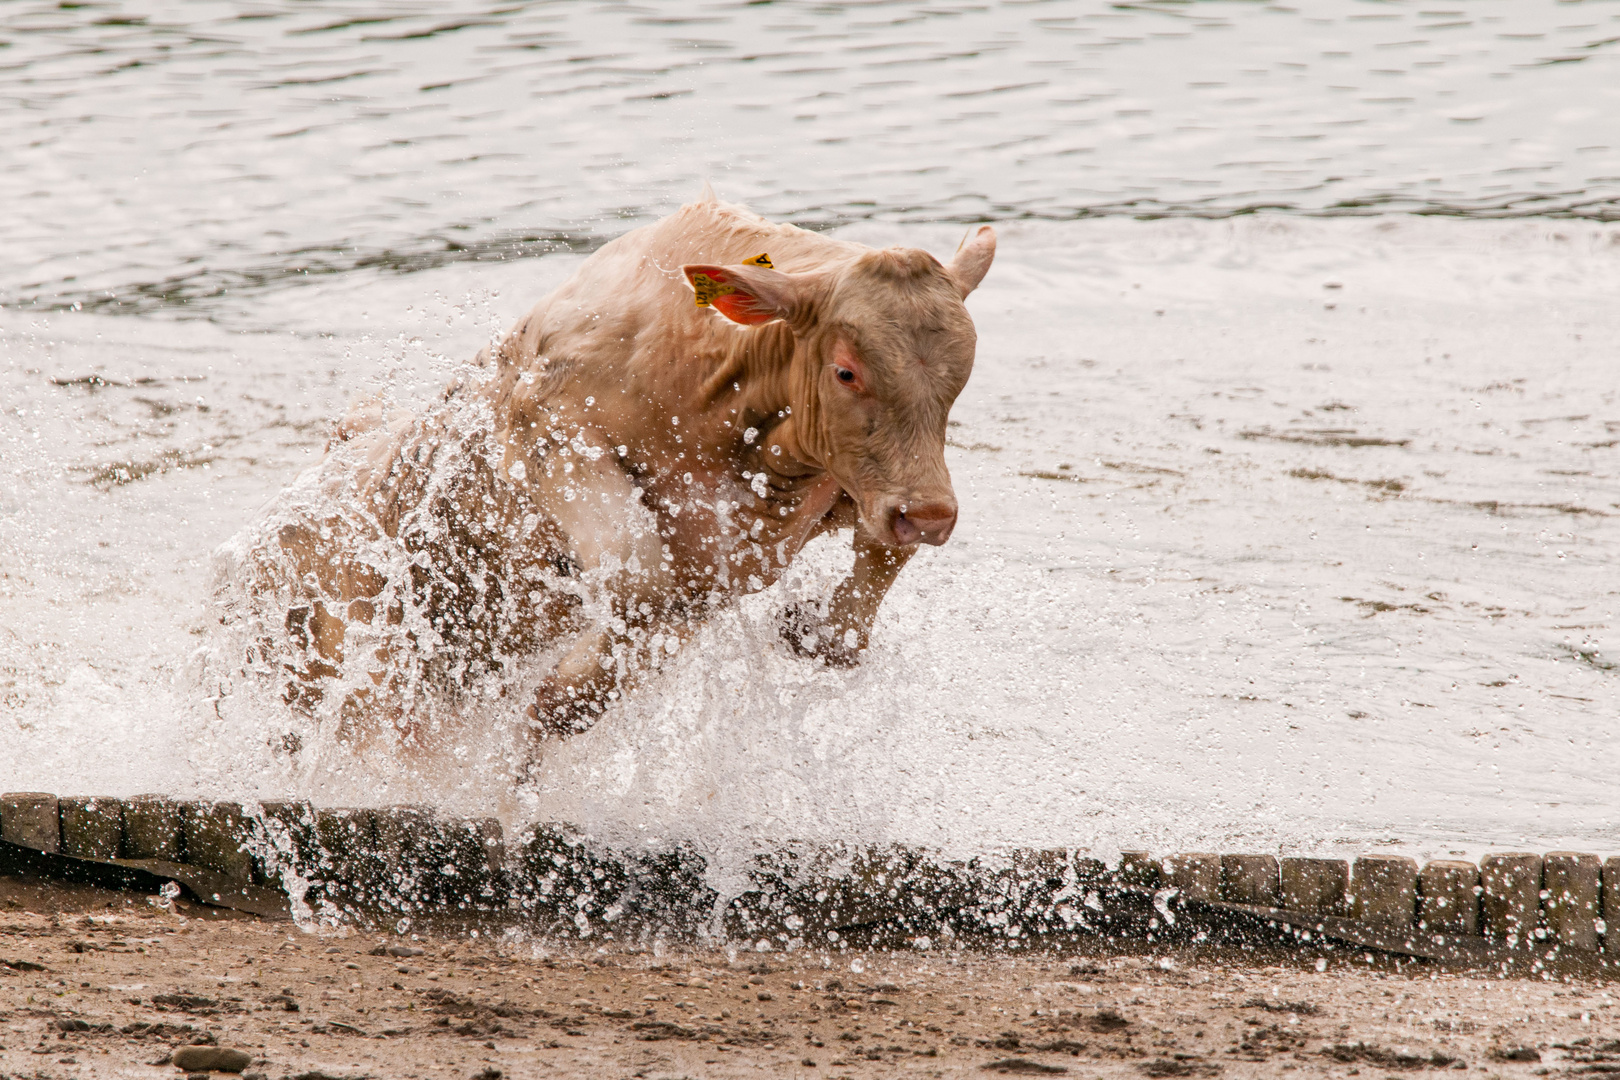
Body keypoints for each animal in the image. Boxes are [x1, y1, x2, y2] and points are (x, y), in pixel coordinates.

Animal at [225, 194, 984, 748]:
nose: (930, 514)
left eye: (960, 377)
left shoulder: (753, 549)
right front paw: (560, 695)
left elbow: (871, 569)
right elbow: (636, 574)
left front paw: (817, 627)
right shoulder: (550, 423)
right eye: (847, 371)